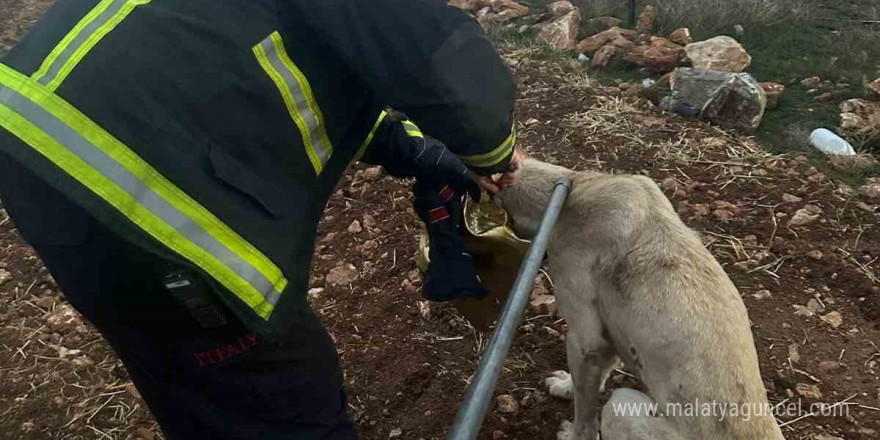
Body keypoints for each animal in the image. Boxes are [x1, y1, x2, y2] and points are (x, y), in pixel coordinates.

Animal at [496, 159, 784, 440]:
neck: (570, 194)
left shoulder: (585, 339)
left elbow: (585, 414)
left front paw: (573, 432)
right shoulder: (610, 333)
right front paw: (565, 386)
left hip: (620, 407)